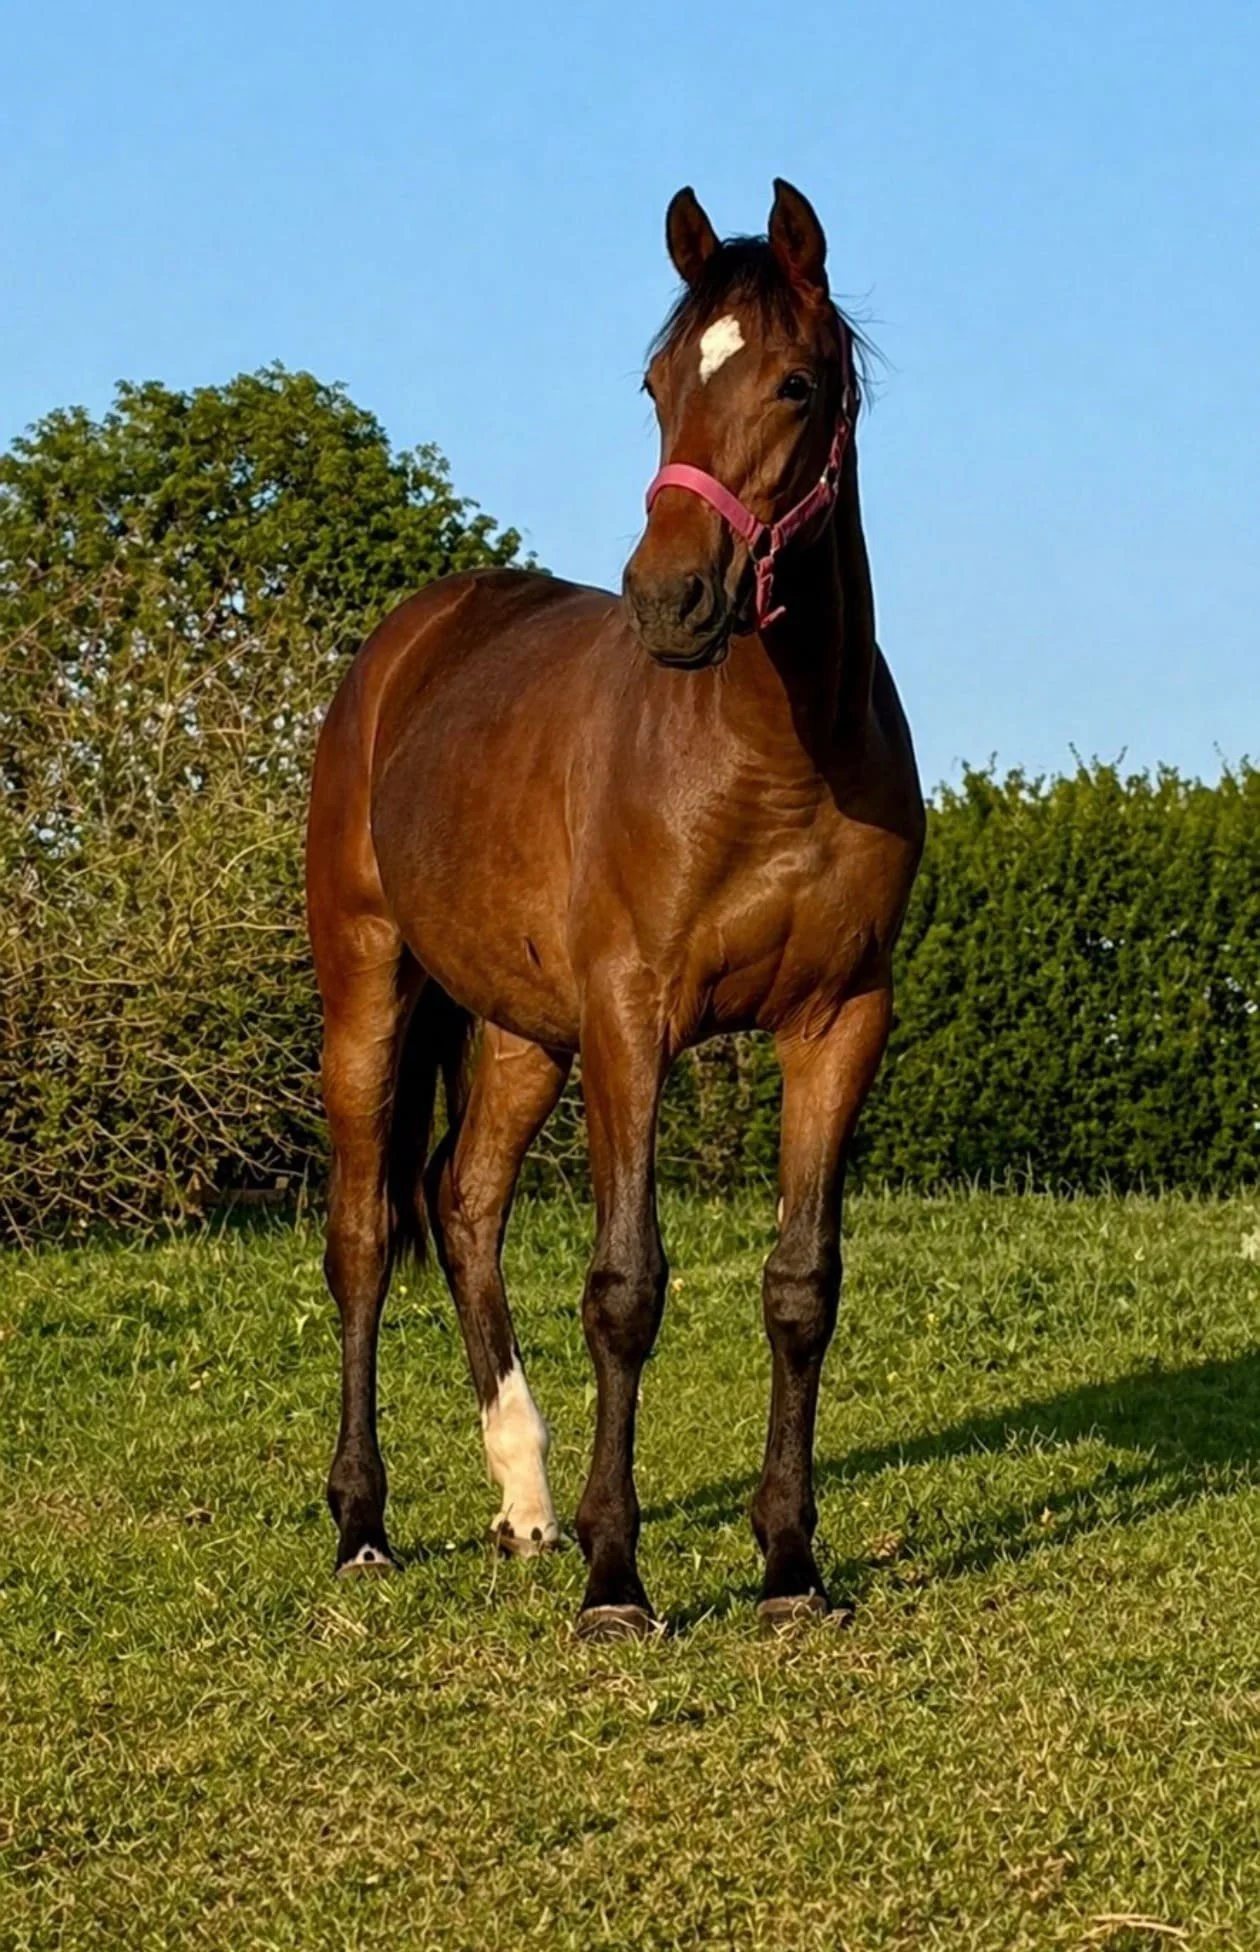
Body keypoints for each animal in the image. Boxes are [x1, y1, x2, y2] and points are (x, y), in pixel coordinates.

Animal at [305, 179, 924, 1639]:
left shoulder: (839, 1024)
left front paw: (790, 1567)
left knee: (463, 1204)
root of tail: (410, 642)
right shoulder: (635, 1020)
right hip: (370, 986)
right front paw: (615, 1580)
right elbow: (627, 1285)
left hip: (526, 1031)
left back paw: (523, 1504)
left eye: (796, 382)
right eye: (656, 384)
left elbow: (800, 1288)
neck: (770, 757)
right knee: (362, 1236)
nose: (669, 597)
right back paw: (365, 1526)